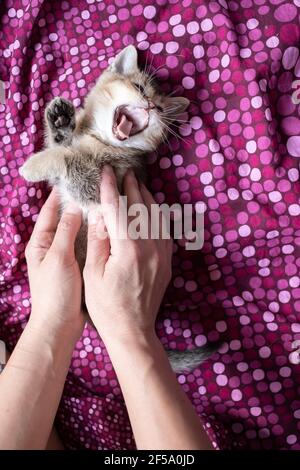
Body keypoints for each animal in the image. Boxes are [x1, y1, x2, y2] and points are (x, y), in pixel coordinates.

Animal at [19, 46, 216, 372]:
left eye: (161, 109)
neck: (99, 139)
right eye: (139, 88)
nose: (150, 106)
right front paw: (60, 121)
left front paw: (35, 163)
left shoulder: (103, 182)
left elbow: (67, 158)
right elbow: (64, 146)